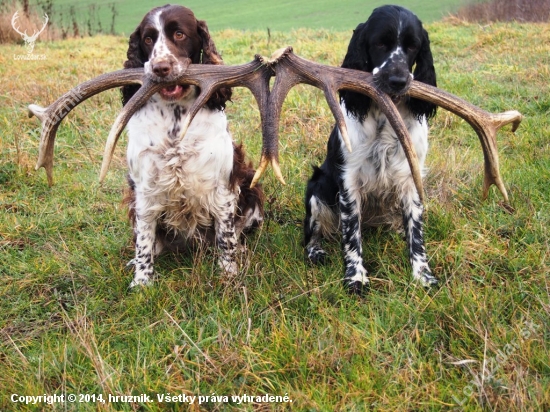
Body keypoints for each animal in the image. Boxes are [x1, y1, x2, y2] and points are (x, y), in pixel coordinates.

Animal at [123, 4, 266, 286]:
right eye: (148, 39)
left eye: (179, 34)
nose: (160, 67)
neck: (175, 119)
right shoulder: (144, 190)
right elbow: (144, 240)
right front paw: (142, 282)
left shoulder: (222, 187)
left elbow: (226, 236)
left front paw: (228, 273)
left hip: (251, 187)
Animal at [306, 4, 440, 292]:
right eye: (380, 43)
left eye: (413, 46)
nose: (398, 80)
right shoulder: (349, 181)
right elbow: (351, 236)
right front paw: (356, 277)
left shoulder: (411, 177)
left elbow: (416, 232)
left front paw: (423, 275)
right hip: (317, 186)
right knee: (312, 234)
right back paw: (316, 252)